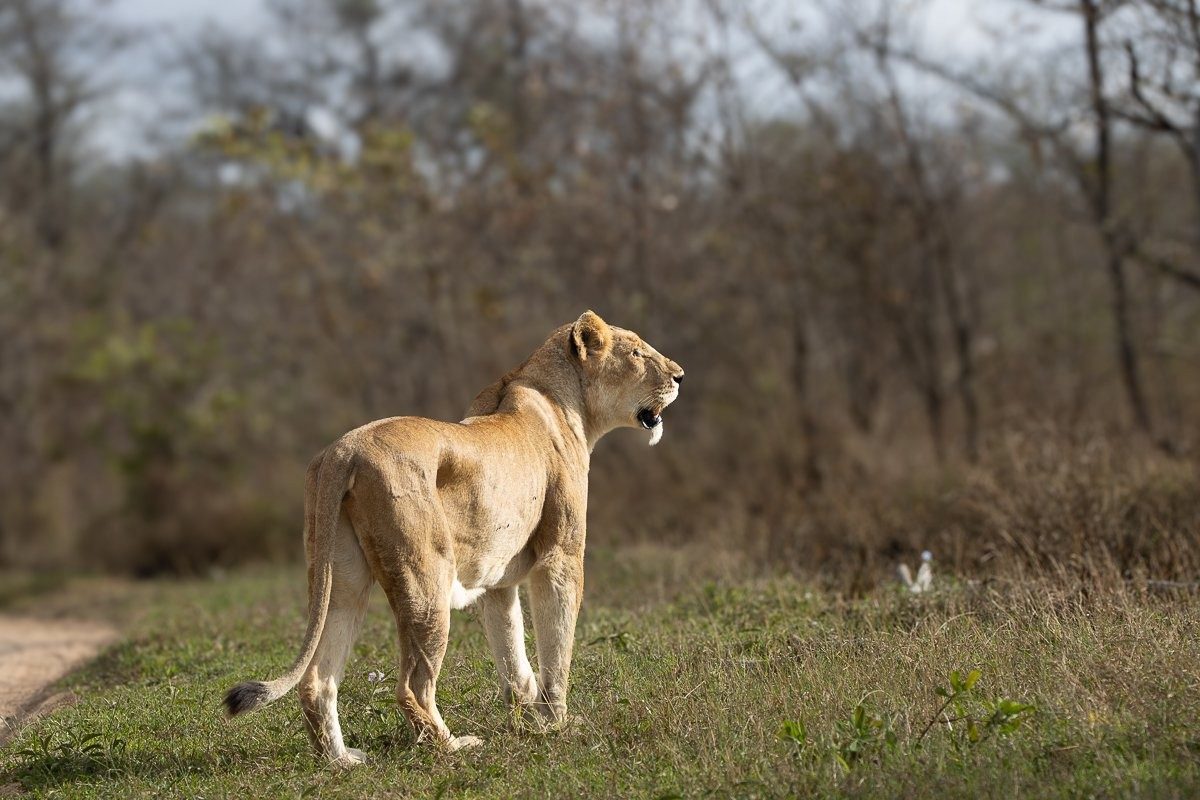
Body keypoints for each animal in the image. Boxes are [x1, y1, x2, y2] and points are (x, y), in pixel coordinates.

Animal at [223, 311, 684, 764]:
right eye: (637, 353)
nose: (680, 376)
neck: (565, 401)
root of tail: (343, 450)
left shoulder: (497, 579)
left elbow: (512, 653)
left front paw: (529, 718)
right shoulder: (560, 557)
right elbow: (557, 646)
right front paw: (558, 723)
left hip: (342, 579)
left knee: (317, 680)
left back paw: (342, 761)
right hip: (427, 581)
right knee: (412, 686)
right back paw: (453, 747)